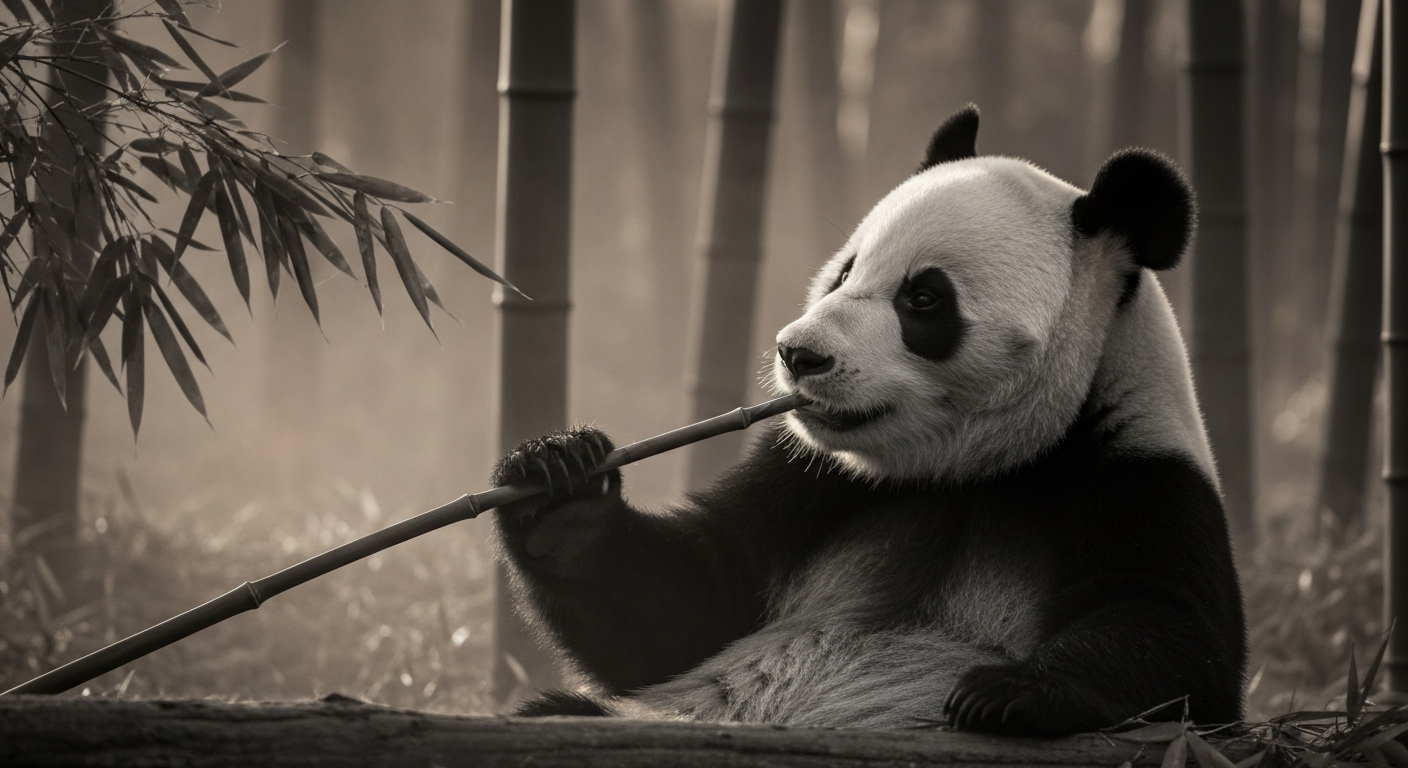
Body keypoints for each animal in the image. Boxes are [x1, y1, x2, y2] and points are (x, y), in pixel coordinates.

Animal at [490, 105, 1246, 736]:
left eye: (924, 298)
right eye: (845, 271)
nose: (799, 354)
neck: (971, 470)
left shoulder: (1136, 472)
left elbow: (1178, 640)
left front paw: (1005, 690)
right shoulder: (817, 481)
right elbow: (683, 606)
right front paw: (558, 485)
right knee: (557, 711)